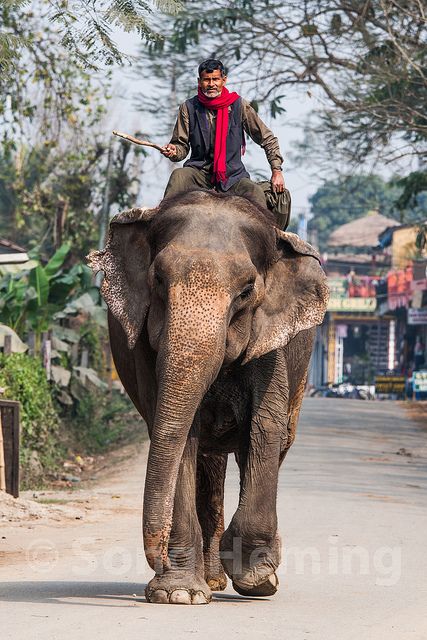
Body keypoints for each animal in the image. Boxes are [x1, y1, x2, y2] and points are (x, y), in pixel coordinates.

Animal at [86, 189, 328, 604]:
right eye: (158, 280)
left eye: (246, 291)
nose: (158, 556)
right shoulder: (145, 346)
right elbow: (179, 434)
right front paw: (179, 593)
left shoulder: (271, 343)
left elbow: (264, 427)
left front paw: (258, 579)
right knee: (207, 464)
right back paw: (211, 581)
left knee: (273, 445)